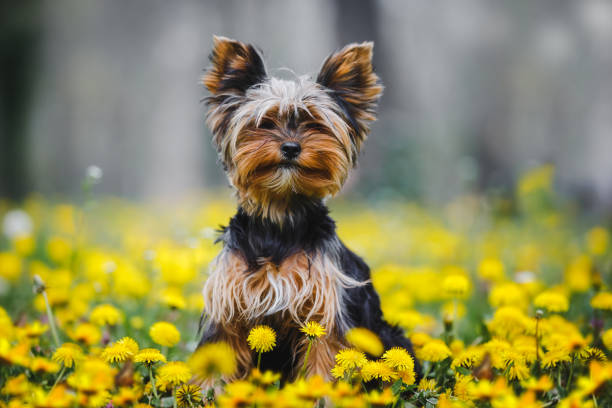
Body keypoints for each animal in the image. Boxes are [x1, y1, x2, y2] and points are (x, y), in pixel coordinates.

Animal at [198, 35, 418, 382]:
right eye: (265, 123)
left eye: (315, 124)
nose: (290, 147)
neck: (280, 218)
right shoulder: (228, 307)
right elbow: (218, 360)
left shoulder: (324, 310)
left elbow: (325, 361)